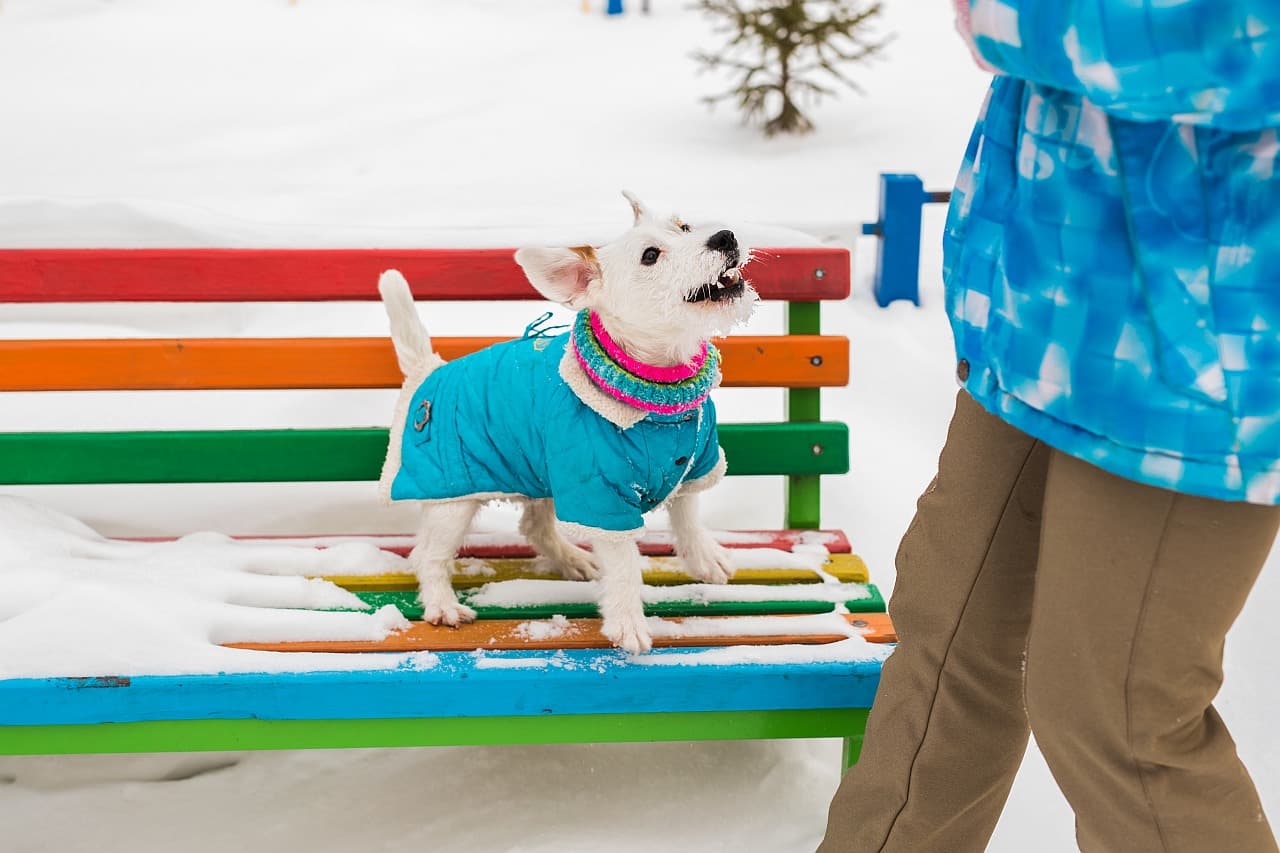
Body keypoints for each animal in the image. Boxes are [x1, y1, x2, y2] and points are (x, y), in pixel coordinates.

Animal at [378, 194, 757, 650]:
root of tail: (428, 371)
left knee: (534, 525)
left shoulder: (695, 463)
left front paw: (704, 557)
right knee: (429, 554)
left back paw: (573, 558)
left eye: (683, 227)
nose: (725, 236)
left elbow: (687, 512)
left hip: (538, 468)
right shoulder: (601, 495)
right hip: (451, 497)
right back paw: (442, 605)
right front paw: (628, 624)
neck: (661, 394)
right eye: (650, 255)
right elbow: (624, 565)